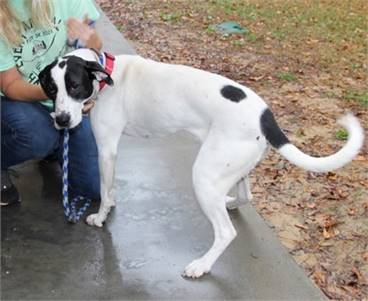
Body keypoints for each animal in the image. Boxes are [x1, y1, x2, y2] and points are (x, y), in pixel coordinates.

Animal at [38, 48, 364, 276]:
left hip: (204, 176)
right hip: (232, 167)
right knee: (245, 196)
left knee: (226, 232)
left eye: (75, 86)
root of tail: (264, 115)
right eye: (52, 89)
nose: (61, 120)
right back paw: (230, 203)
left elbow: (105, 193)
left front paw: (100, 217)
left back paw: (201, 265)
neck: (108, 74)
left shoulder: (106, 149)